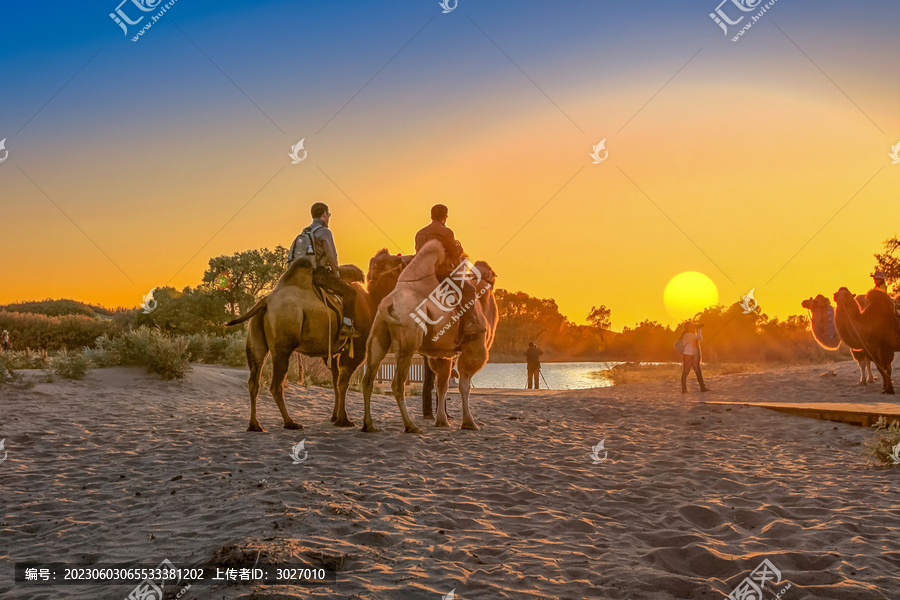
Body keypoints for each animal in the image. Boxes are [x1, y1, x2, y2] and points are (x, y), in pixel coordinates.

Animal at [229, 258, 376, 432]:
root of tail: (265, 302)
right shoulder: (357, 349)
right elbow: (343, 382)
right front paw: (343, 420)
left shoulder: (332, 352)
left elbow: (335, 381)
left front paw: (335, 417)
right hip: (283, 345)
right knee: (276, 385)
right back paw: (290, 422)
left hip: (256, 339)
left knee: (254, 380)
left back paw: (255, 425)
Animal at [358, 241, 500, 434]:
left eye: (380, 265)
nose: (370, 278)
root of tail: (388, 303)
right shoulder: (474, 349)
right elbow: (464, 385)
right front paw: (469, 422)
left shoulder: (442, 354)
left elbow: (442, 385)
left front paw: (441, 420)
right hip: (408, 344)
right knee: (397, 384)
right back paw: (411, 425)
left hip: (378, 337)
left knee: (368, 379)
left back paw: (369, 425)